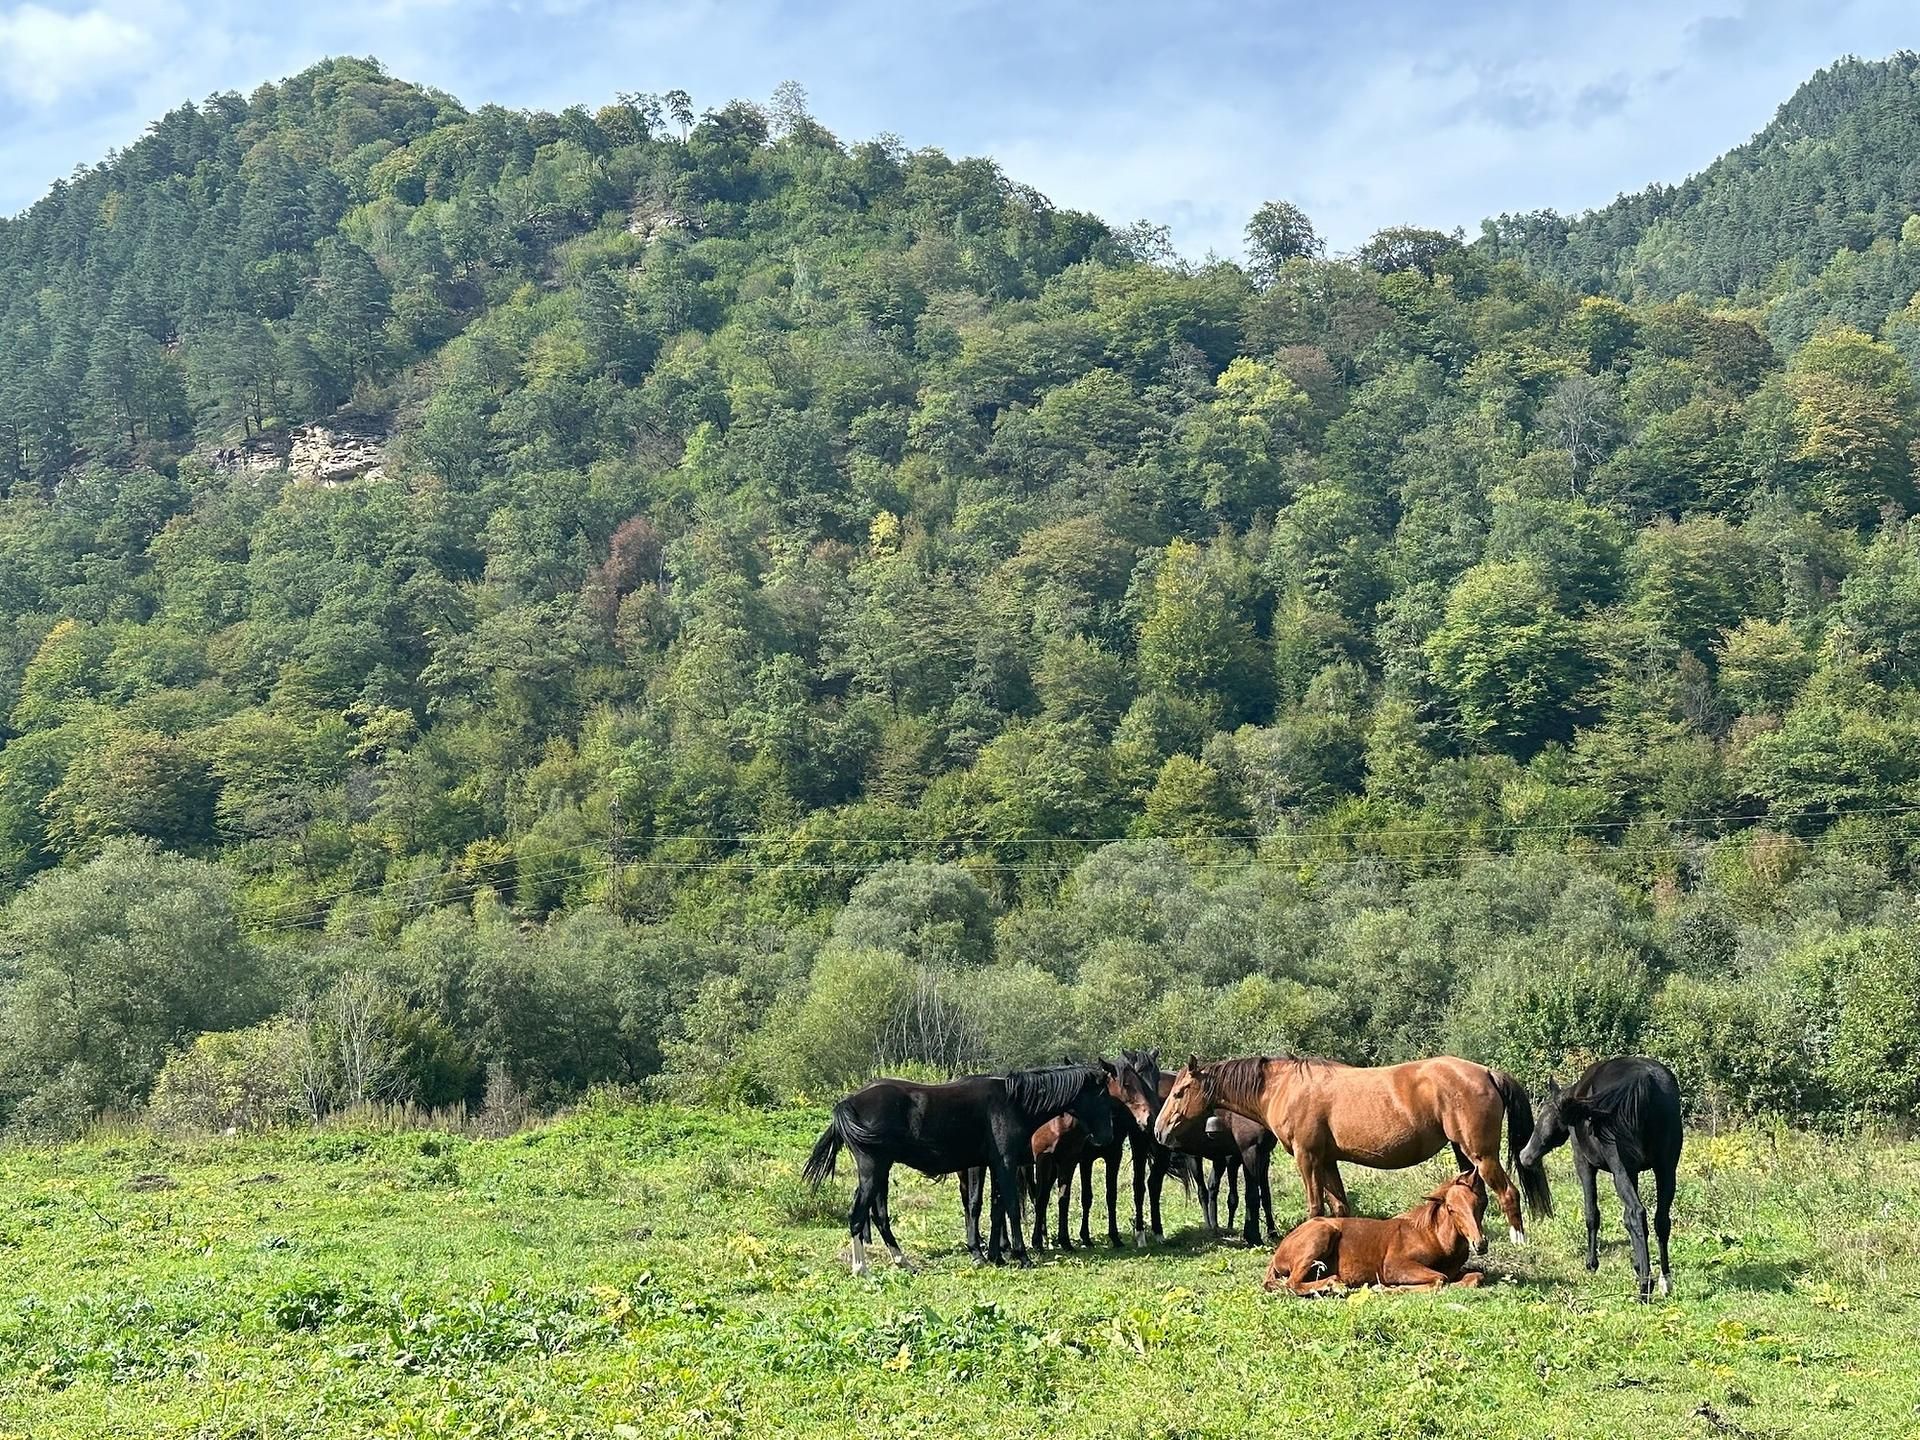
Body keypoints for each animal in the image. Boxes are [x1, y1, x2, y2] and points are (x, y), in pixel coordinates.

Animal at [802, 1059, 1121, 1274]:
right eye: (1104, 1096)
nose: (1106, 1137)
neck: (1013, 1102)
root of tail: (848, 1103)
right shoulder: (1004, 1162)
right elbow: (1010, 1207)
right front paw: (1020, 1255)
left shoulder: (986, 1164)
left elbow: (990, 1206)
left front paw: (990, 1254)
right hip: (873, 1169)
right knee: (858, 1215)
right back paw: (861, 1269)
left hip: (879, 1170)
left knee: (878, 1216)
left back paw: (904, 1262)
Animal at [1152, 1052, 1543, 1244]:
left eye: (1180, 1092)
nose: (1158, 1130)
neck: (1285, 1087)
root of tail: (1487, 1072)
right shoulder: (1328, 1161)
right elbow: (1339, 1206)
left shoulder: (1308, 1158)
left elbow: (1315, 1207)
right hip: (1465, 1156)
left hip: (1481, 1154)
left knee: (1508, 1193)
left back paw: (1518, 1239)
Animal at [1267, 1175, 1489, 1297]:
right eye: (1451, 1208)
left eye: (1479, 1204)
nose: (1480, 1244)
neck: (1434, 1237)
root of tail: (1278, 1253)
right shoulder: (1394, 1266)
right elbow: (1440, 1279)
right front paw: (1385, 1288)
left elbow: (1474, 1277)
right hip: (1320, 1238)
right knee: (1291, 1284)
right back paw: (1336, 1285)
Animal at [1512, 1059, 1681, 1305]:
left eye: (1544, 1112)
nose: (1526, 1156)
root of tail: (1646, 1080)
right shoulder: (1635, 1172)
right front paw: (1637, 1264)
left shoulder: (1585, 1164)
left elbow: (1592, 1213)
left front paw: (1592, 1263)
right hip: (1666, 1168)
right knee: (1660, 1220)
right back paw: (1664, 1281)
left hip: (1622, 1170)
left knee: (1637, 1214)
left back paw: (1644, 1288)